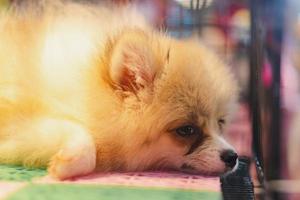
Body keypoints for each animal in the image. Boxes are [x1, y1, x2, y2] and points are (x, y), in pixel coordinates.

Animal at [0, 0, 239, 178]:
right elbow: (84, 137)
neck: (85, 85)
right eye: (187, 130)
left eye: (220, 122)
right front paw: (68, 162)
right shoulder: (19, 119)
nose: (233, 156)